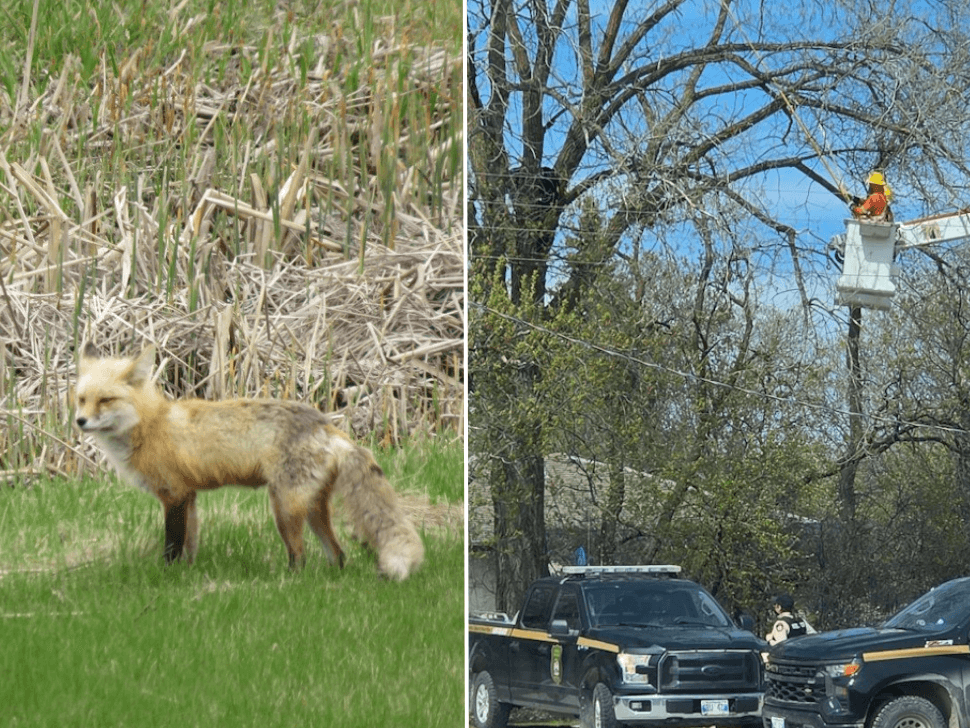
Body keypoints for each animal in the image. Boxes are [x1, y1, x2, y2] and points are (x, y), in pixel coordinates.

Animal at [74, 342, 424, 580]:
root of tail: (325, 423)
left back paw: (288, 582)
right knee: (338, 555)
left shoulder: (173, 496)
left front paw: (166, 578)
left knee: (300, 556)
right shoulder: (189, 496)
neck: (149, 426)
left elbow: (172, 548)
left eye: (106, 400)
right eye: (81, 399)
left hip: (284, 507)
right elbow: (190, 546)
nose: (80, 421)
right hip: (312, 508)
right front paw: (186, 577)